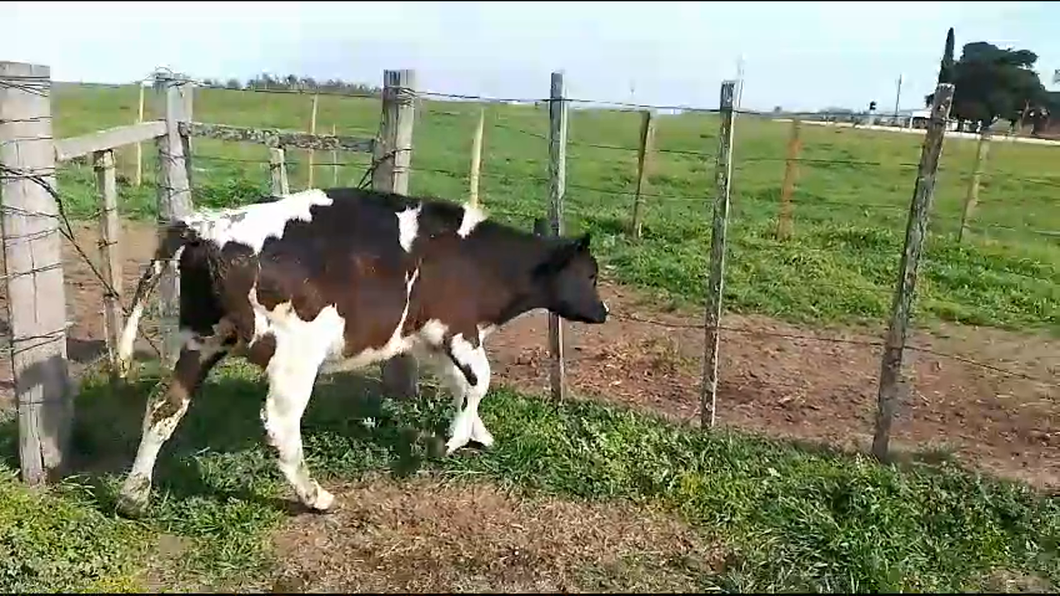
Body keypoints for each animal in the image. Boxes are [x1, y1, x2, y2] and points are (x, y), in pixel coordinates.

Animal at [111, 186, 610, 515]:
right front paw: (452, 440)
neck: (478, 259)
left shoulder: (428, 337)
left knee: (164, 407)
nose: (603, 312)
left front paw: (476, 434)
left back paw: (133, 496)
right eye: (589, 275)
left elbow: (460, 385)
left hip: (201, 339)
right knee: (279, 424)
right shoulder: (457, 330)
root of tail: (206, 228)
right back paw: (315, 497)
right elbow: (480, 380)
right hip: (295, 355)